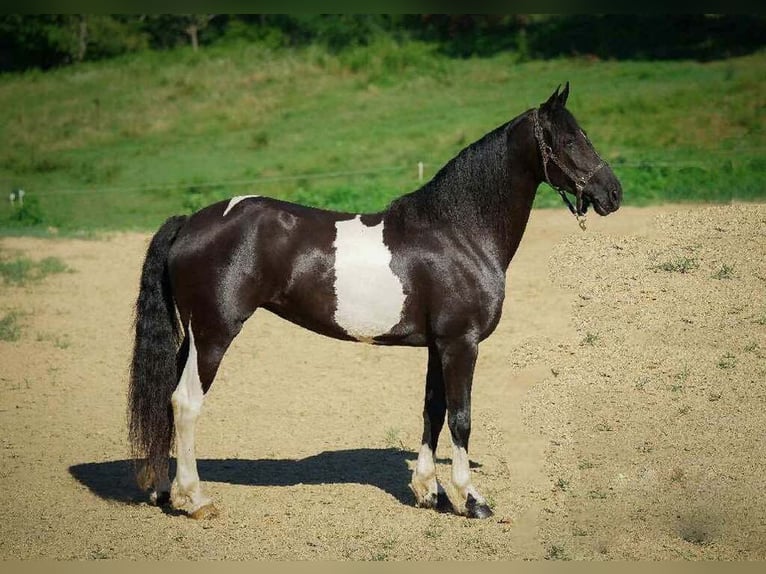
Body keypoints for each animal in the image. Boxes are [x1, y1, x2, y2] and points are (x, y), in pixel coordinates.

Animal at [129, 84, 624, 520]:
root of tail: (191, 222)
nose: (613, 194)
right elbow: (461, 418)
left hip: (192, 338)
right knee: (185, 403)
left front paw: (428, 492)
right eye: (569, 139)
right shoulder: (461, 343)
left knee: (165, 402)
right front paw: (470, 499)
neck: (459, 231)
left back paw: (163, 491)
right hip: (213, 333)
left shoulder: (438, 345)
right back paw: (196, 499)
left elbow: (433, 411)